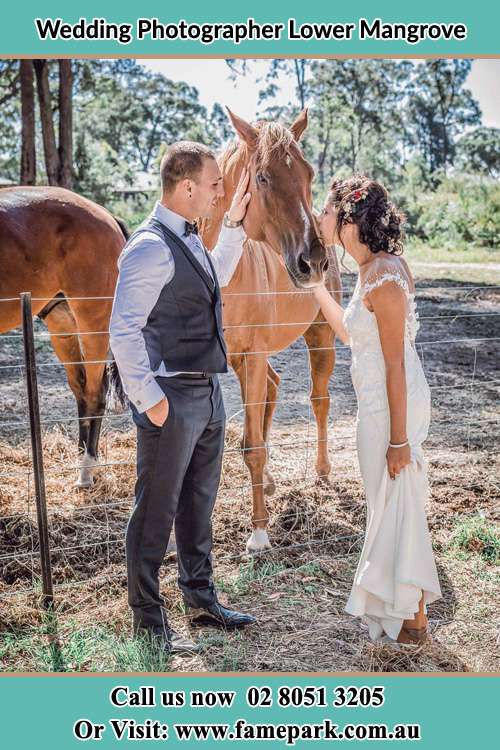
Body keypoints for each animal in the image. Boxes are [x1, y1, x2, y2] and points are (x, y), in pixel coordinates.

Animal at [0, 188, 127, 488]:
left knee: (95, 393)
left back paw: (86, 469)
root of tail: (107, 216)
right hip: (62, 324)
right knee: (81, 389)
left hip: (93, 323)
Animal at [201, 110, 342, 552]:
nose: (312, 261)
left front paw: (259, 532)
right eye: (262, 177)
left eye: (309, 172)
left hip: (320, 340)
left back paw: (322, 471)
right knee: (275, 389)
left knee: (319, 401)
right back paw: (271, 482)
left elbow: (253, 446)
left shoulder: (254, 355)